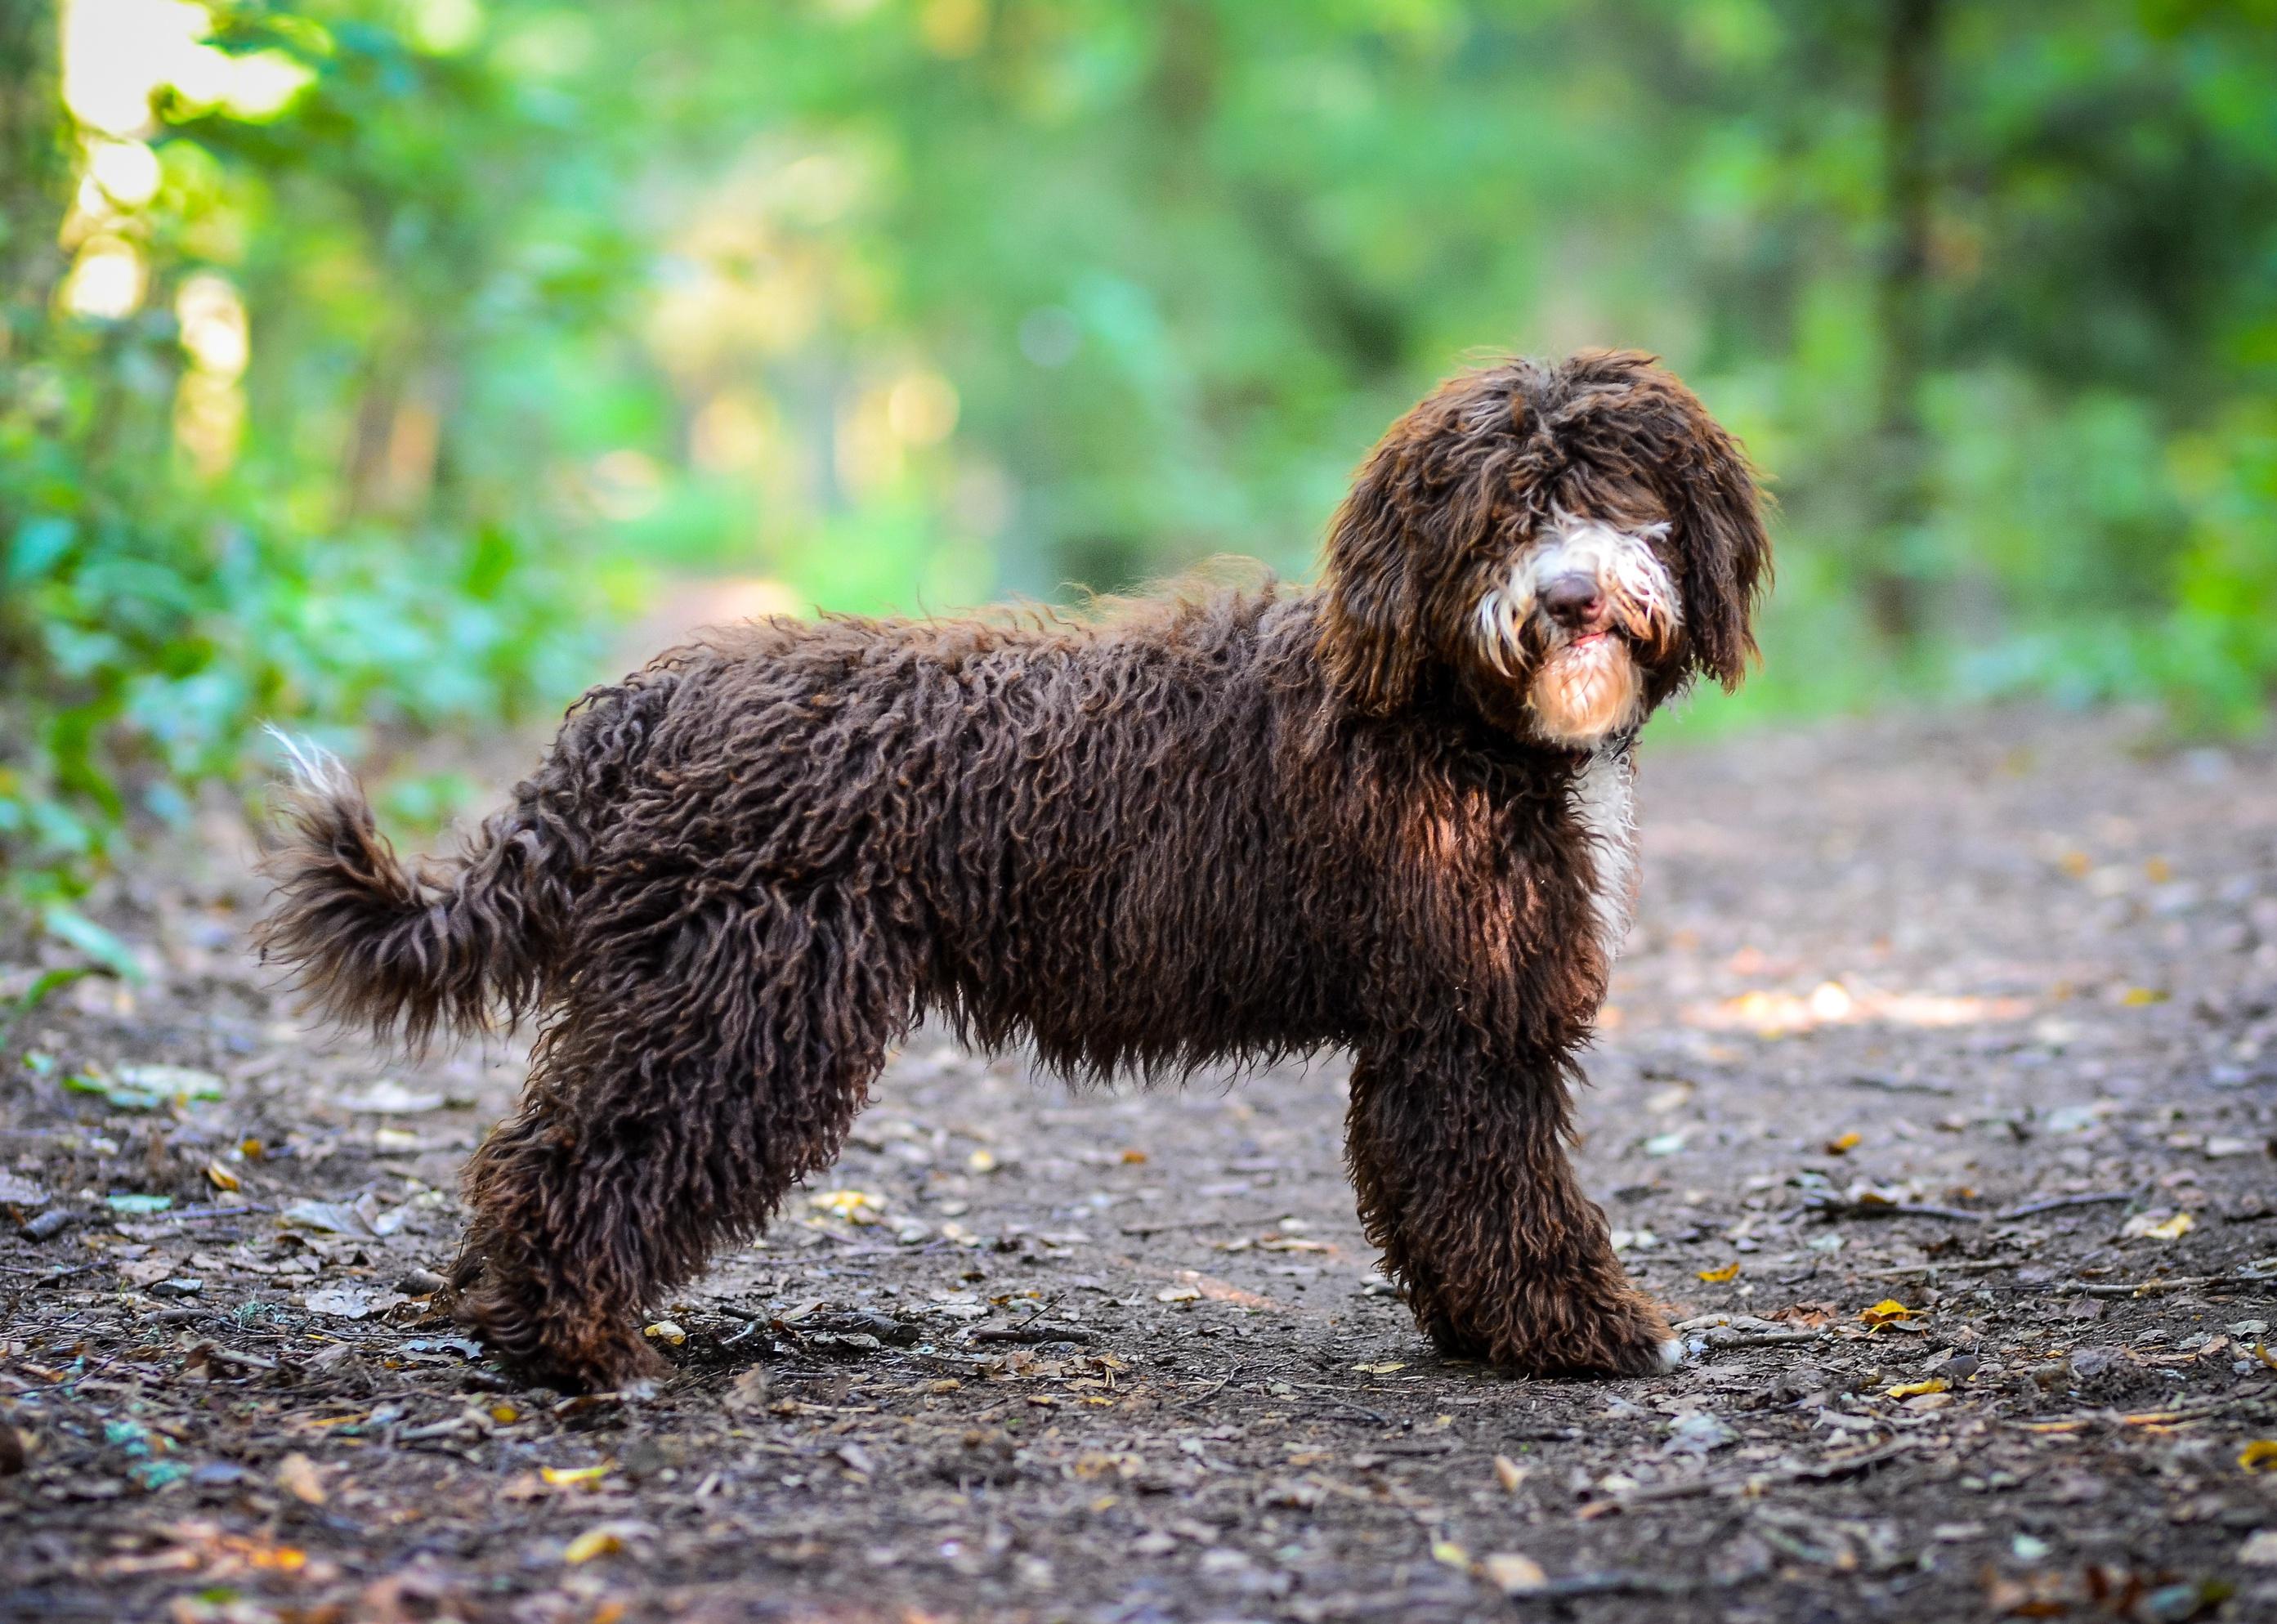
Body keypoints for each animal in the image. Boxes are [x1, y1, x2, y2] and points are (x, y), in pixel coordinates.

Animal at [258, 348, 1766, 1385]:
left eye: (1618, 498)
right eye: (1506, 513)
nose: (1569, 596)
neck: (1449, 706)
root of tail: (648, 703)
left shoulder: (1433, 1031)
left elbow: (1434, 1189)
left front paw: (1479, 1330)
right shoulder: (1464, 1024)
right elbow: (1507, 1189)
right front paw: (1585, 1331)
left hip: (680, 988)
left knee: (534, 1147)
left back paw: (512, 1318)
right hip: (733, 1003)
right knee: (579, 1158)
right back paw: (570, 1340)